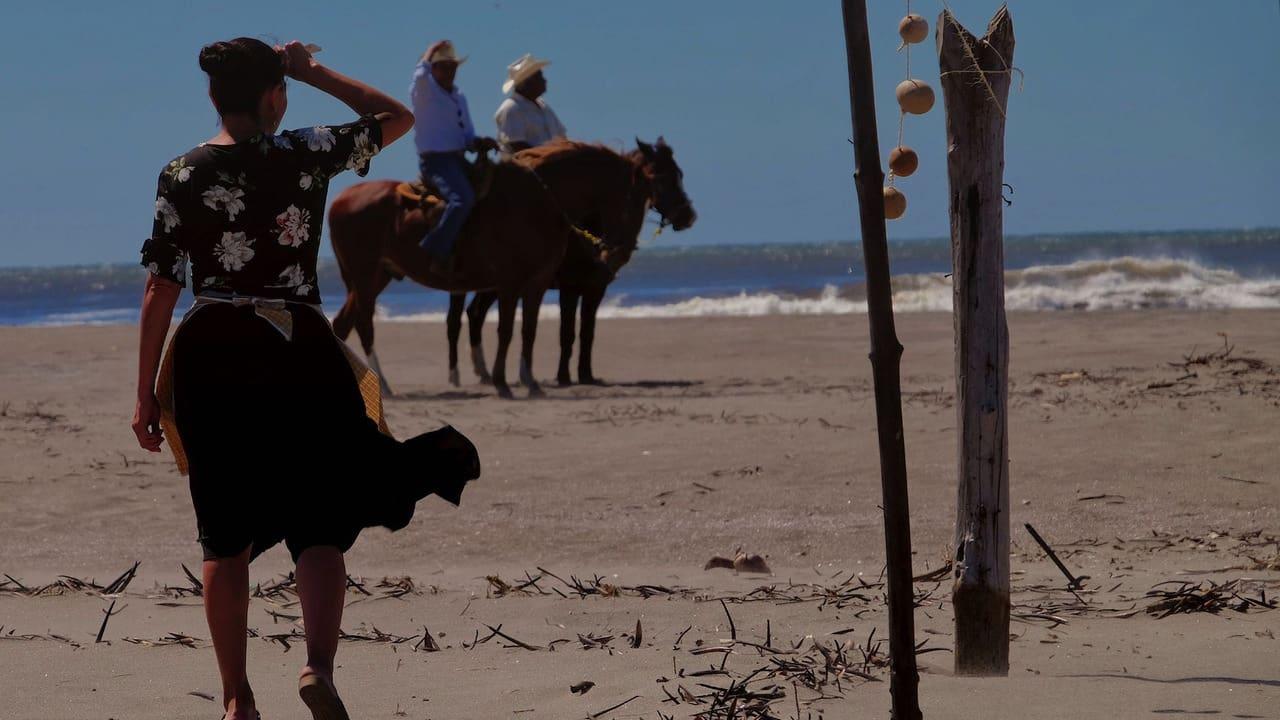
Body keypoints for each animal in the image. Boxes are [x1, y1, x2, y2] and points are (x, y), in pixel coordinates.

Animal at [327, 156, 573, 397]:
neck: (531, 204)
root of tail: (340, 200)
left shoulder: (538, 284)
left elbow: (529, 331)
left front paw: (531, 382)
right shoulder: (509, 285)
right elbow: (505, 331)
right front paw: (501, 382)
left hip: (377, 276)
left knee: (344, 323)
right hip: (364, 277)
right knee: (364, 324)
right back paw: (384, 385)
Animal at [445, 137, 696, 389]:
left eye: (679, 174)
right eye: (659, 178)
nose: (688, 217)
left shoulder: (596, 288)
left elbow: (587, 332)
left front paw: (586, 375)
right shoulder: (569, 287)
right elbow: (567, 332)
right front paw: (564, 376)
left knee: (475, 313)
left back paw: (484, 373)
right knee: (458, 318)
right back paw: (459, 375)